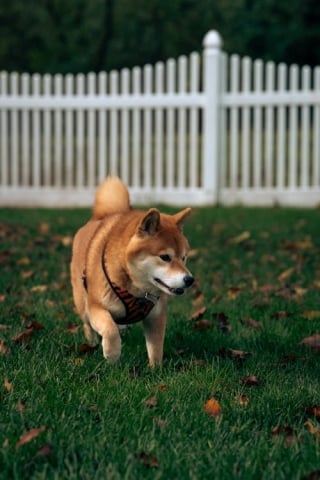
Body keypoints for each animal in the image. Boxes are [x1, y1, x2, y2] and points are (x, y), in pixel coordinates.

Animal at [70, 177, 194, 368]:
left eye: (184, 258)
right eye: (165, 257)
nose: (189, 279)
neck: (137, 291)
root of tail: (99, 217)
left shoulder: (156, 316)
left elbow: (155, 347)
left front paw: (155, 369)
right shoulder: (96, 307)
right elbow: (110, 330)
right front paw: (112, 354)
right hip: (82, 303)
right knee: (87, 324)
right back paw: (92, 342)